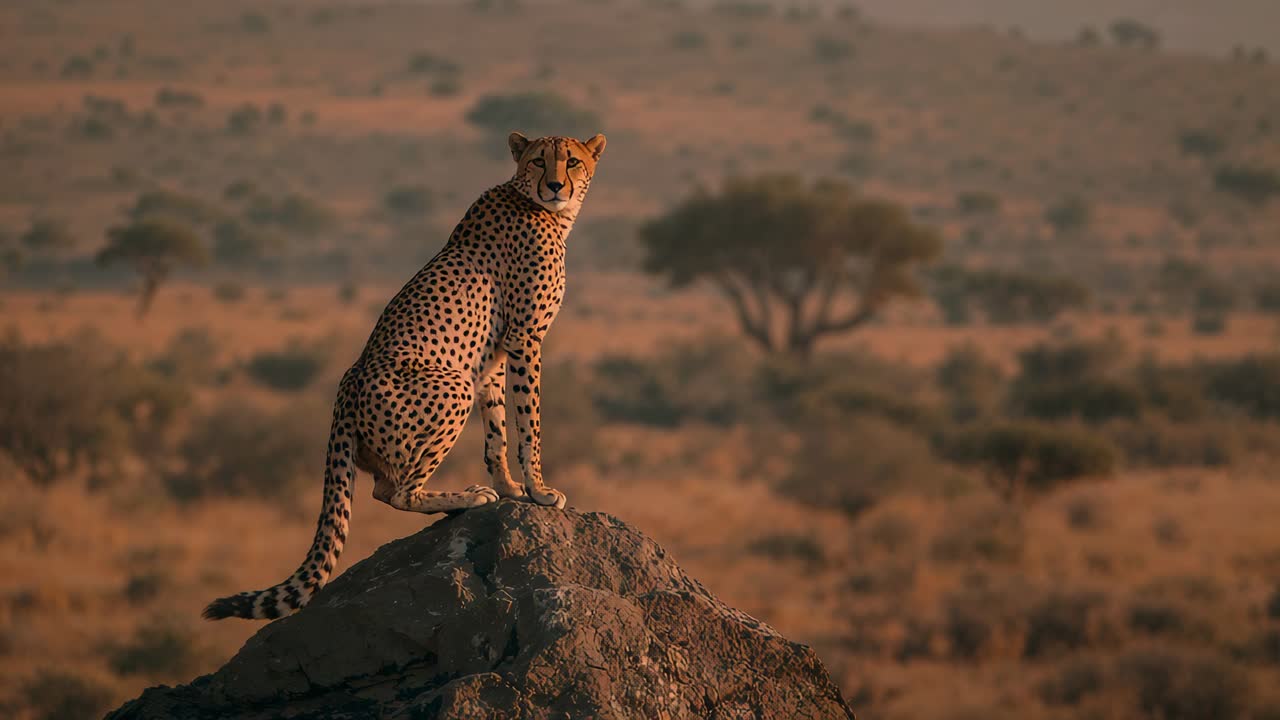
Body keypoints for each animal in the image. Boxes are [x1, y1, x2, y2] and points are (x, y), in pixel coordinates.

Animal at [203, 131, 606, 620]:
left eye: (572, 161)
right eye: (538, 162)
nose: (555, 186)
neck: (542, 209)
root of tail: (346, 386)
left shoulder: (490, 359)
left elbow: (496, 432)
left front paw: (510, 488)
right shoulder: (525, 339)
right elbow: (529, 423)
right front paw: (539, 491)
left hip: (453, 383)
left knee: (384, 487)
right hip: (451, 386)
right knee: (397, 491)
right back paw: (465, 497)